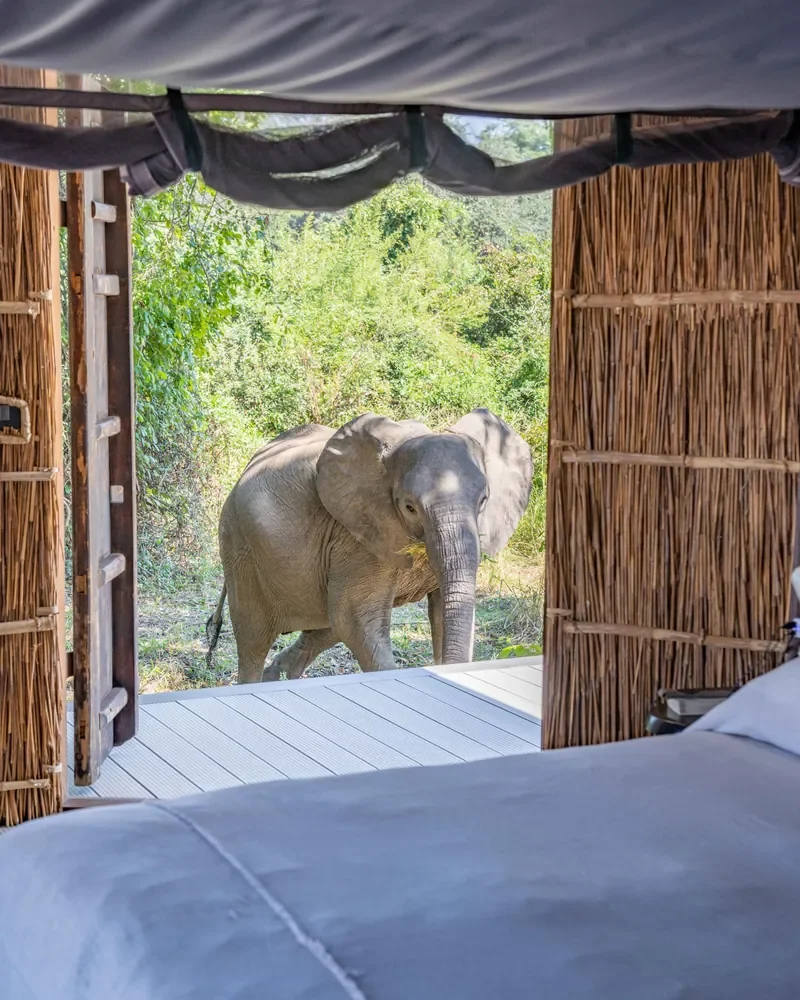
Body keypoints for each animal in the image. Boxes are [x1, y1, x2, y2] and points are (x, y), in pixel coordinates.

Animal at [206, 408, 532, 683]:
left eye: (484, 501)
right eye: (410, 507)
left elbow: (442, 610)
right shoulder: (356, 533)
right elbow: (356, 619)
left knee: (324, 626)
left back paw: (279, 675)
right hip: (240, 546)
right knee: (254, 639)